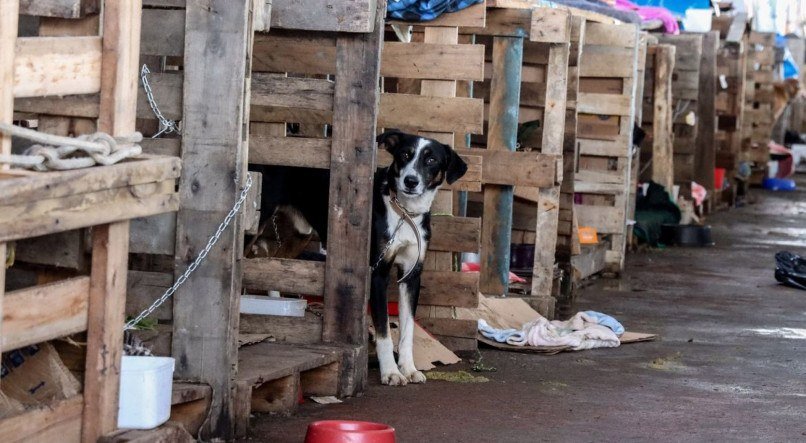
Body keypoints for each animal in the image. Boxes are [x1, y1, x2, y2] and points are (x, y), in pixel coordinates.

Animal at [249, 128, 470, 386]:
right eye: (404, 154)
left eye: (431, 160)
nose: (411, 181)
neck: (404, 214)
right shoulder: (378, 273)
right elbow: (384, 331)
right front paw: (391, 372)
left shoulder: (411, 275)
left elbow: (407, 330)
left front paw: (408, 368)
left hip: (299, 234)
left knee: (274, 263)